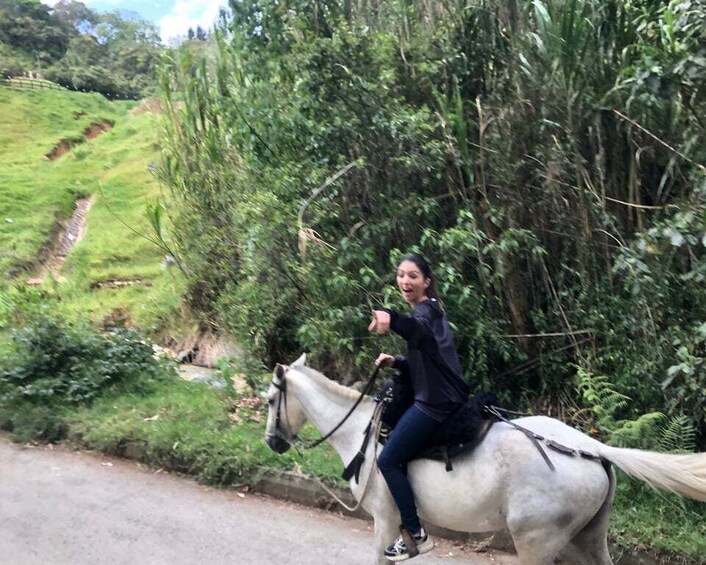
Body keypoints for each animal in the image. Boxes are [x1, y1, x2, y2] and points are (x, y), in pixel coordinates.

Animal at [262, 354, 704, 560]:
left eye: (269, 399)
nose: (271, 442)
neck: (363, 433)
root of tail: (591, 449)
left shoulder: (385, 521)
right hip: (587, 538)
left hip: (538, 542)